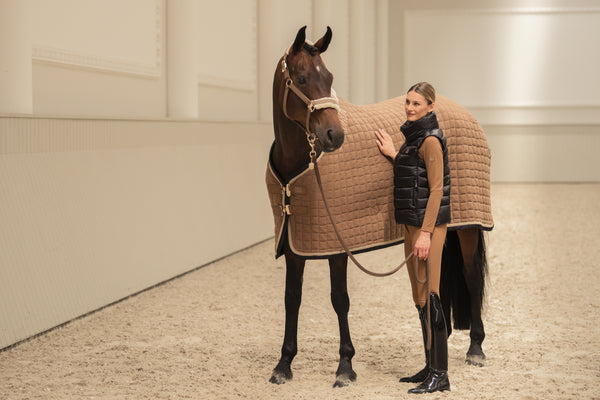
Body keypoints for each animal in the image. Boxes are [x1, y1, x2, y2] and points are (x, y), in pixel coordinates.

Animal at [268, 25, 488, 388]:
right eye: (301, 78)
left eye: (329, 78)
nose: (335, 135)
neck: (298, 164)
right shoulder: (294, 245)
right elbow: (291, 299)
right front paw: (284, 364)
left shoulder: (337, 245)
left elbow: (339, 300)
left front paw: (345, 367)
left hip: (469, 226)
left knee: (471, 275)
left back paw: (476, 349)